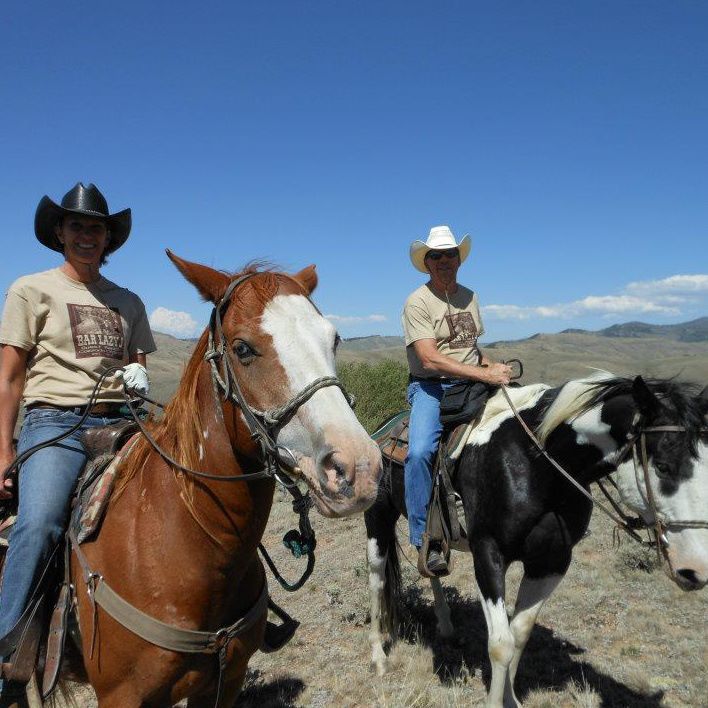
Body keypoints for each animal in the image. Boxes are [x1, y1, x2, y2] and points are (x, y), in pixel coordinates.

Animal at [366, 374, 708, 704]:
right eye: (663, 466)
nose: (695, 570)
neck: (537, 464)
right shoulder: (488, 554)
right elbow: (501, 643)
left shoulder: (551, 562)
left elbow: (520, 633)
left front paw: (511, 698)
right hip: (378, 519)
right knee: (378, 580)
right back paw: (379, 658)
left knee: (429, 563)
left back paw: (446, 626)